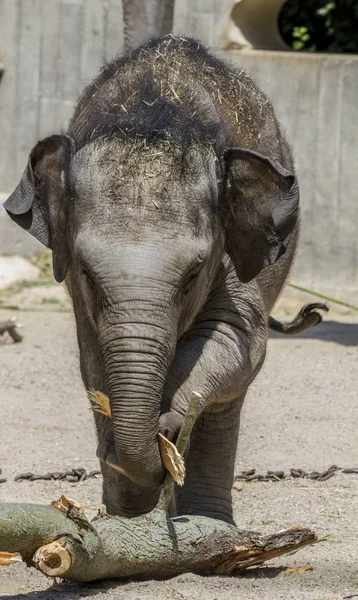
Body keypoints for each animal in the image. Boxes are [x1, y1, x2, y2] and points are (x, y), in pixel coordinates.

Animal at [4, 37, 324, 524]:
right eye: (87, 273)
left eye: (193, 275)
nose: (161, 430)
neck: (152, 117)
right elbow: (92, 363)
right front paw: (127, 506)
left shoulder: (240, 246)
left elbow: (236, 338)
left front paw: (166, 425)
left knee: (232, 390)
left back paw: (211, 523)